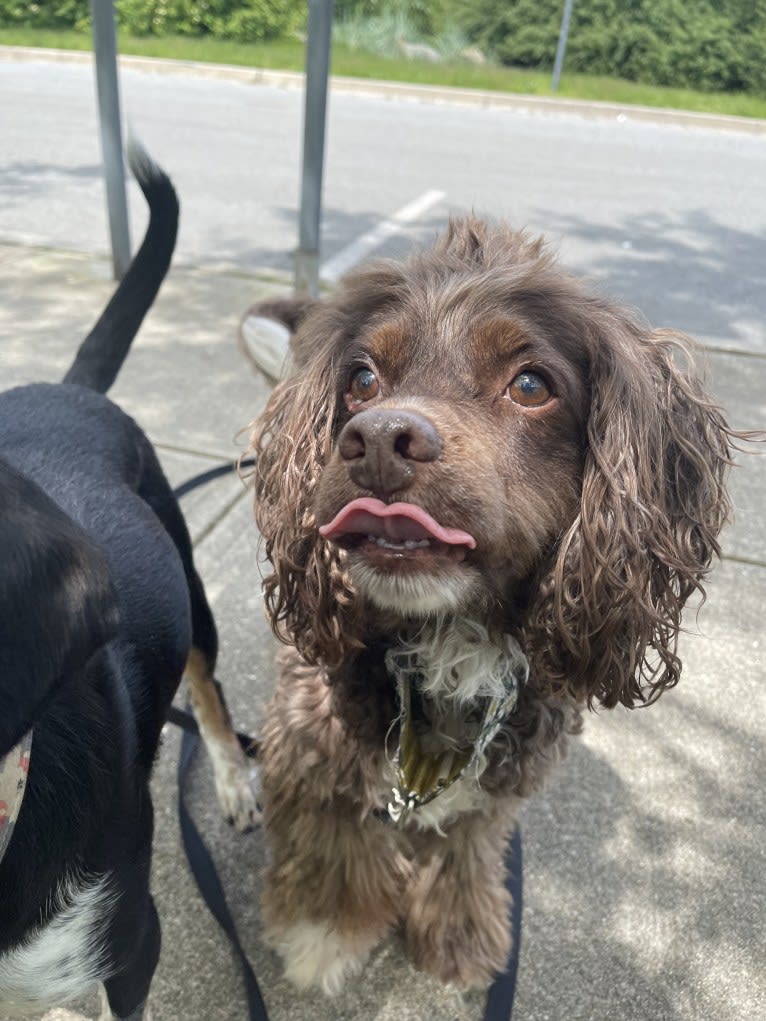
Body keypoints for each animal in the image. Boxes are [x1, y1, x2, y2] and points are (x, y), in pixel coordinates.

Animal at [249, 219, 735, 992]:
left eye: (531, 384)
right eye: (362, 379)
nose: (378, 439)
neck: (450, 637)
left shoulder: (501, 775)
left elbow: (464, 848)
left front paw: (457, 931)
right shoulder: (313, 739)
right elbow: (336, 839)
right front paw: (325, 932)